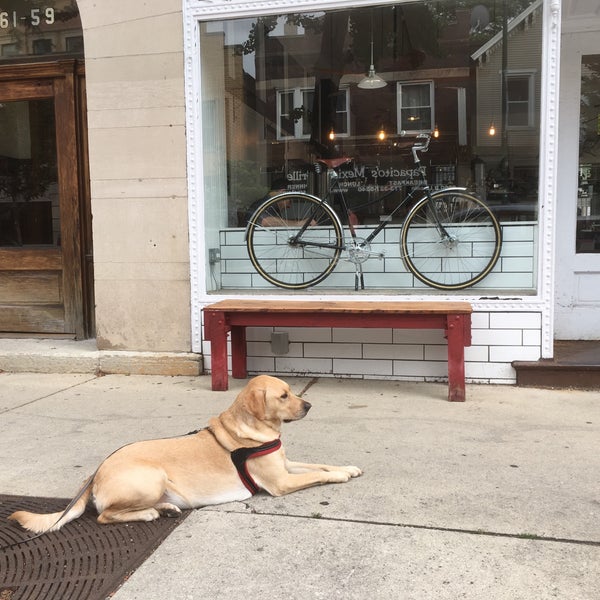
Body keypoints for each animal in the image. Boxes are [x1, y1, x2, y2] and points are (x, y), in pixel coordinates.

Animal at [9, 376, 360, 536]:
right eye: (284, 395)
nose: (309, 405)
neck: (253, 428)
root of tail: (95, 472)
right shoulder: (281, 482)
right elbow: (317, 474)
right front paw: (339, 475)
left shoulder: (286, 466)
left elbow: (318, 464)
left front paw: (349, 467)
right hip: (152, 476)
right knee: (105, 515)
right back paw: (150, 514)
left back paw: (164, 508)